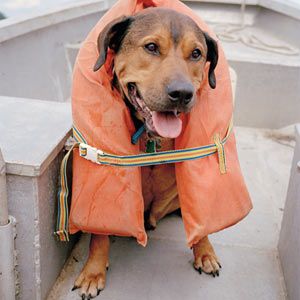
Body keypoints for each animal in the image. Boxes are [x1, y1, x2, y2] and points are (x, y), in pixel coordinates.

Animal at [73, 8, 220, 298]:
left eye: (196, 53)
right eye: (151, 47)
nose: (182, 93)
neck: (153, 138)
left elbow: (200, 212)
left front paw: (205, 251)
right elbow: (99, 232)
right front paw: (93, 271)